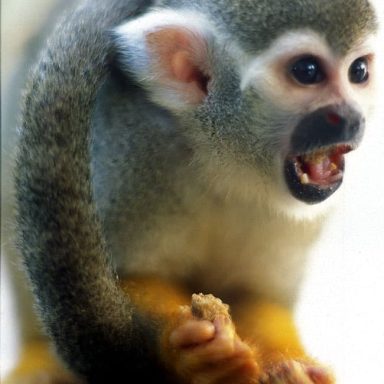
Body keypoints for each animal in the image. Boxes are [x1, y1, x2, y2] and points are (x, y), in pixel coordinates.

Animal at [3, 0, 380, 384]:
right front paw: (194, 355)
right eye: (307, 71)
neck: (225, 158)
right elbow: (136, 276)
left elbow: (258, 296)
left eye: (359, 71)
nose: (352, 118)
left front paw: (288, 366)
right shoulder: (131, 149)